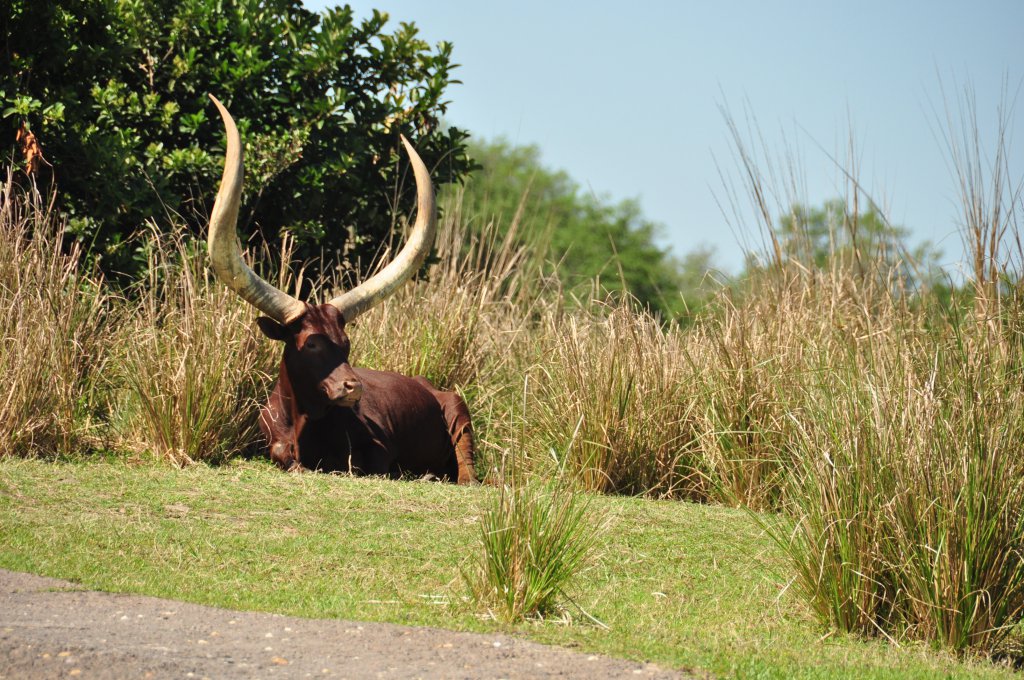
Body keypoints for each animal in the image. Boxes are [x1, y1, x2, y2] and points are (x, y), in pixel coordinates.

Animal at [208, 95, 479, 485]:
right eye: (311, 343)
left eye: (346, 343)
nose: (354, 387)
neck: (305, 425)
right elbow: (283, 456)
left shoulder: (380, 450)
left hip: (459, 410)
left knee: (466, 468)